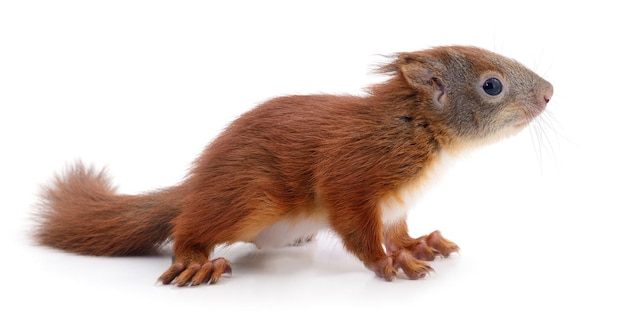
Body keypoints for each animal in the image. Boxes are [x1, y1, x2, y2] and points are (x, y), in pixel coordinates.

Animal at [33, 45, 552, 286]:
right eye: (491, 86)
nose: (550, 92)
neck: (421, 129)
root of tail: (198, 184)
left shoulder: (399, 203)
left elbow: (398, 229)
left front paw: (418, 244)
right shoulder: (356, 172)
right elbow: (358, 228)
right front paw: (390, 261)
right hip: (249, 198)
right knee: (189, 226)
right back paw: (196, 260)